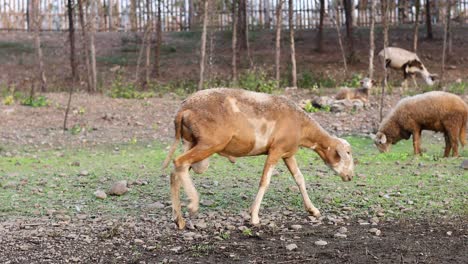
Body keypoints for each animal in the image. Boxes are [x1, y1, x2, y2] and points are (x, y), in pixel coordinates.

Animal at [163, 87, 352, 228]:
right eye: (347, 154)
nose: (350, 176)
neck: (303, 127)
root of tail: (183, 109)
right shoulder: (276, 151)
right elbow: (265, 181)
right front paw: (254, 216)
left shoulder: (287, 154)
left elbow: (300, 179)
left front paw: (312, 210)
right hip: (210, 143)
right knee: (179, 163)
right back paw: (193, 204)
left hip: (190, 142)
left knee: (175, 173)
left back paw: (178, 219)